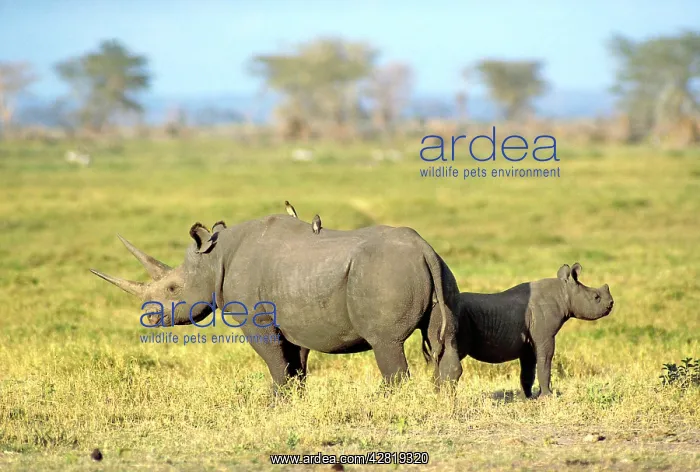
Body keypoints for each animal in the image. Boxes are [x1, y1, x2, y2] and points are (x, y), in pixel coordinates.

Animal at [90, 214, 464, 393]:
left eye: (172, 288)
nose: (151, 318)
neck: (215, 259)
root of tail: (424, 250)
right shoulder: (294, 317)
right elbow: (294, 363)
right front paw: (293, 400)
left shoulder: (255, 319)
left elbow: (273, 360)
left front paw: (273, 403)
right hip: (440, 272)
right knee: (444, 339)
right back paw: (441, 399)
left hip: (383, 271)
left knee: (385, 343)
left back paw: (381, 404)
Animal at [439, 263, 614, 398]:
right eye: (596, 297)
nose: (611, 304)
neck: (563, 292)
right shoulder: (545, 336)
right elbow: (545, 360)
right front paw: (547, 397)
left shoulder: (528, 341)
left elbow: (528, 369)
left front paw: (527, 398)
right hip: (457, 319)